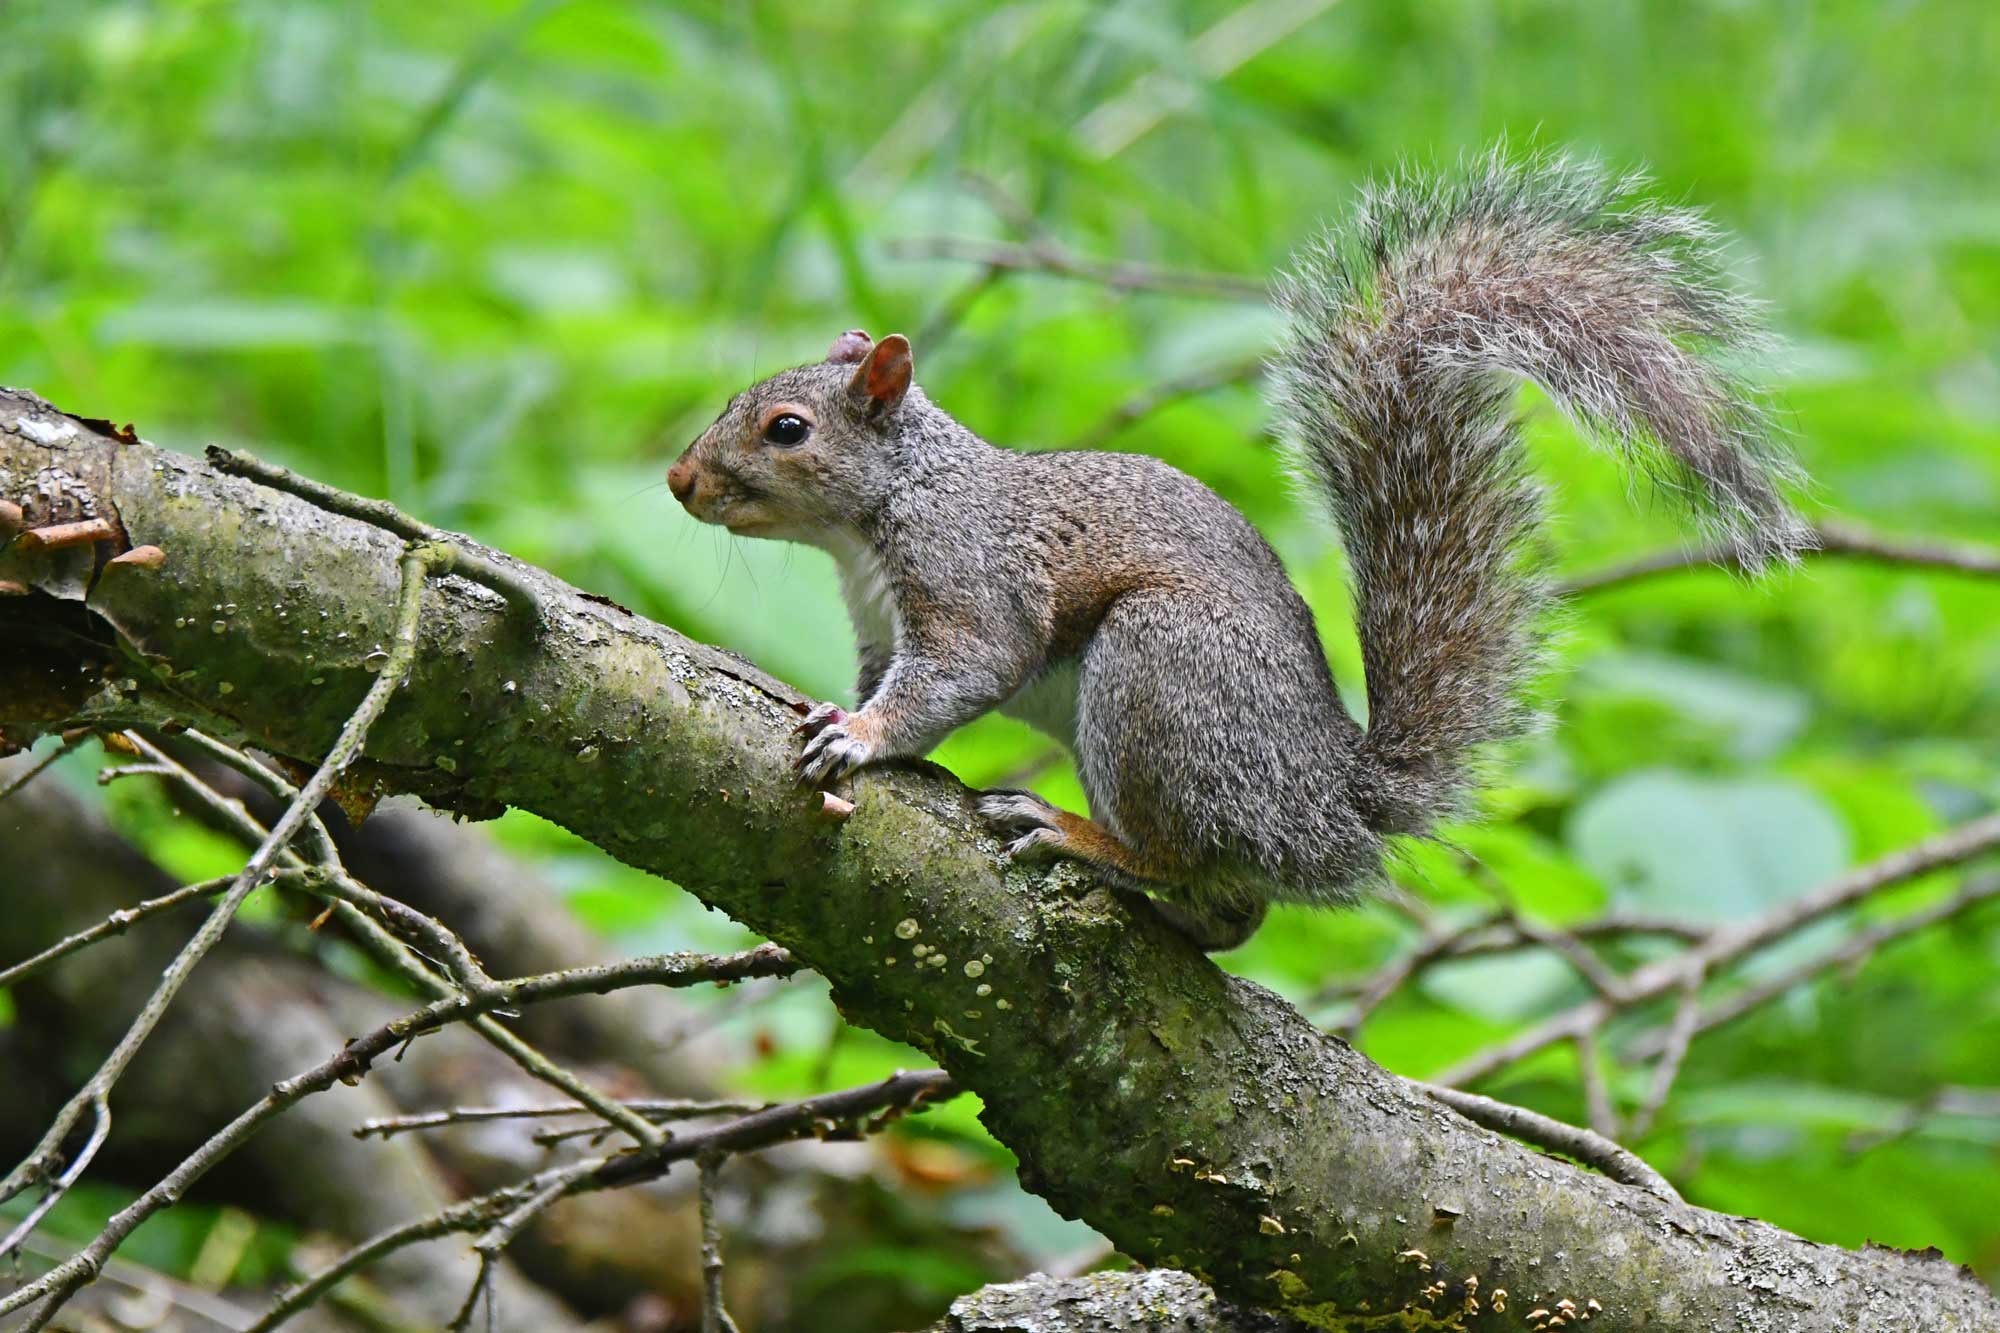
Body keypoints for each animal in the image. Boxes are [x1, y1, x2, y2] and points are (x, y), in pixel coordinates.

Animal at [665, 151, 1812, 950]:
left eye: (785, 429)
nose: (679, 482)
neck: (882, 510)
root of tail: (1331, 804)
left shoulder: (969, 573)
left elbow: (961, 670)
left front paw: (861, 736)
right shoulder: (875, 619)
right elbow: (882, 674)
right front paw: (838, 708)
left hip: (1161, 676)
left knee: (1183, 851)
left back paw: (1081, 836)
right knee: (1231, 912)